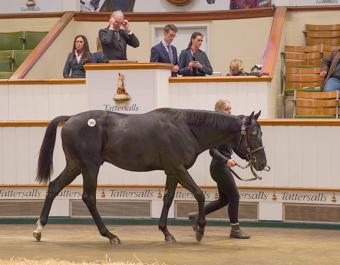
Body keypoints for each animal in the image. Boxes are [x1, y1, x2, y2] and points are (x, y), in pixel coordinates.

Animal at [33, 107, 266, 243]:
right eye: (254, 134)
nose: (262, 163)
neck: (186, 128)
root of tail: (70, 119)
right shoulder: (179, 168)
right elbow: (199, 194)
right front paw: (199, 229)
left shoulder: (172, 171)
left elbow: (168, 198)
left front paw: (166, 232)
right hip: (89, 167)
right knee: (88, 198)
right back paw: (110, 235)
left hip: (75, 166)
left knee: (54, 187)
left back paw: (39, 229)